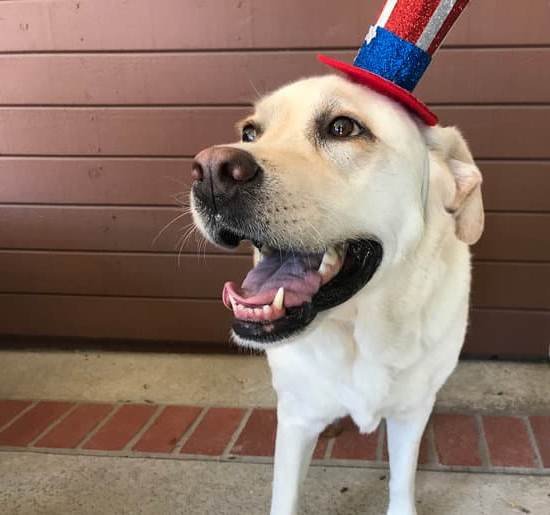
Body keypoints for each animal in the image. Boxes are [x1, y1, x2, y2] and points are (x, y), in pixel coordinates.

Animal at [192, 75, 486, 515]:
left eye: (343, 128)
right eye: (250, 133)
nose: (210, 171)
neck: (361, 330)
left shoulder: (409, 414)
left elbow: (402, 481)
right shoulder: (296, 418)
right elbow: (285, 495)